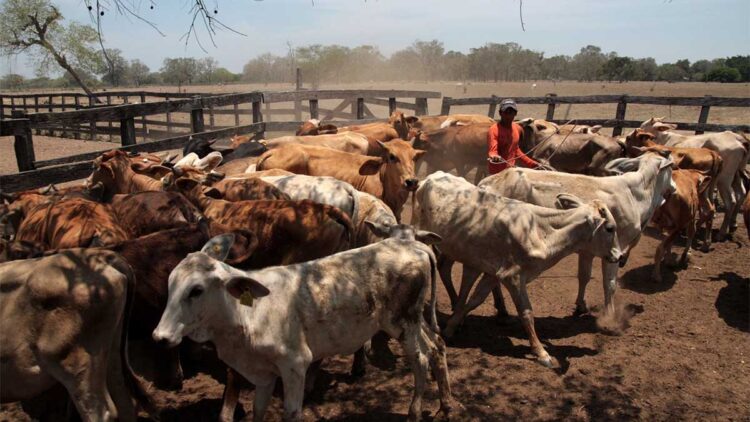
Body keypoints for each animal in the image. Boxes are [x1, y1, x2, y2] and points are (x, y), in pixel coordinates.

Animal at [153, 231, 462, 422]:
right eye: (170, 284)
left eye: (196, 290)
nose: (159, 337)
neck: (247, 315)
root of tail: (416, 246)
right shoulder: (263, 375)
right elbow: (258, 410)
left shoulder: (295, 365)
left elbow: (291, 412)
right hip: (416, 319)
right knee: (437, 347)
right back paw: (446, 406)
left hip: (401, 321)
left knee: (420, 359)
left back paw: (414, 412)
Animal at [418, 171, 624, 366]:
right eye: (610, 228)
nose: (620, 256)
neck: (540, 231)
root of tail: (431, 176)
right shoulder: (513, 277)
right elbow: (526, 313)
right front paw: (541, 353)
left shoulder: (495, 274)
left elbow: (475, 300)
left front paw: (451, 327)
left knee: (449, 270)